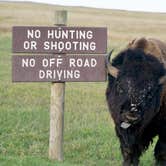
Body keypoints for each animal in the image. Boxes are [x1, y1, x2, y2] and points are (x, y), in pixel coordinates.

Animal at [105, 38, 166, 166]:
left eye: (150, 94)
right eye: (120, 87)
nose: (132, 115)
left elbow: (160, 151)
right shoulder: (121, 128)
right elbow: (129, 151)